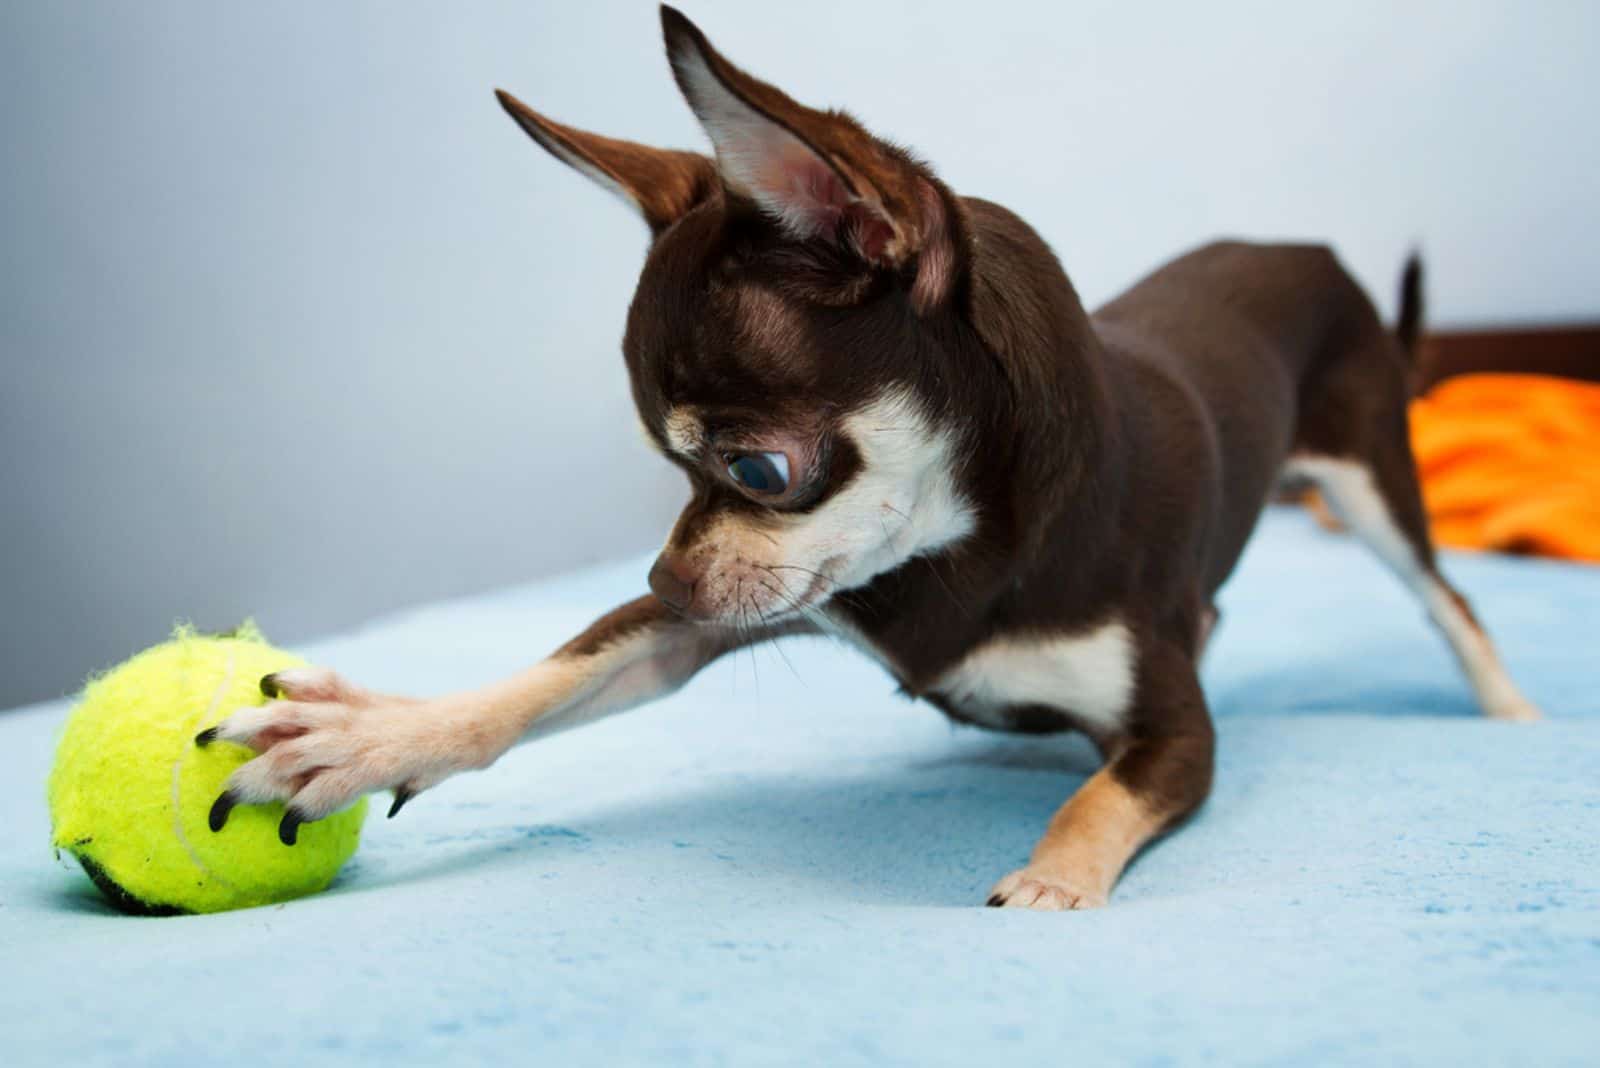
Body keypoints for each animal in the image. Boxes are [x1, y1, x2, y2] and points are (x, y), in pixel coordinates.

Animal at [196, 6, 1536, 908]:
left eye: (755, 471)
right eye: (666, 470)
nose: (663, 579)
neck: (961, 556)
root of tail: (1306, 248)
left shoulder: (1176, 738)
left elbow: (1099, 795)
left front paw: (1047, 885)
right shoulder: (731, 617)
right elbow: (541, 680)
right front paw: (374, 735)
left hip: (1375, 480)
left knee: (1450, 598)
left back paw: (1512, 713)